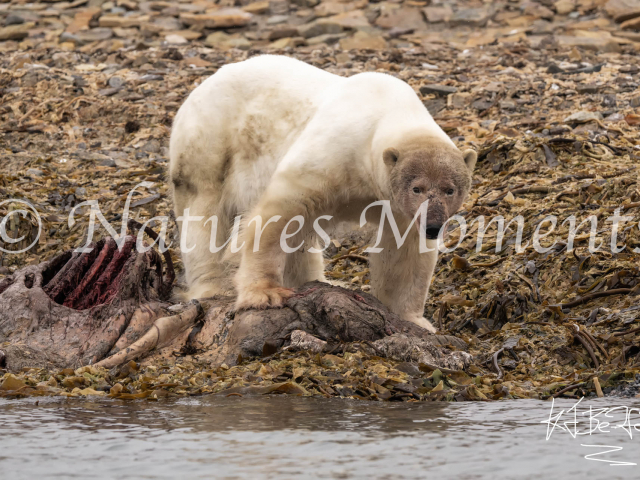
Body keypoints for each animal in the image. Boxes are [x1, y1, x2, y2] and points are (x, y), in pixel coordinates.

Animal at [170, 54, 476, 332]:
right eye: (417, 187)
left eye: (450, 189)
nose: (434, 226)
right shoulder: (337, 151)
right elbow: (280, 213)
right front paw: (265, 293)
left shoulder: (397, 204)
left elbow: (405, 251)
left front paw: (413, 320)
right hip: (209, 145)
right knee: (204, 215)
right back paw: (212, 286)